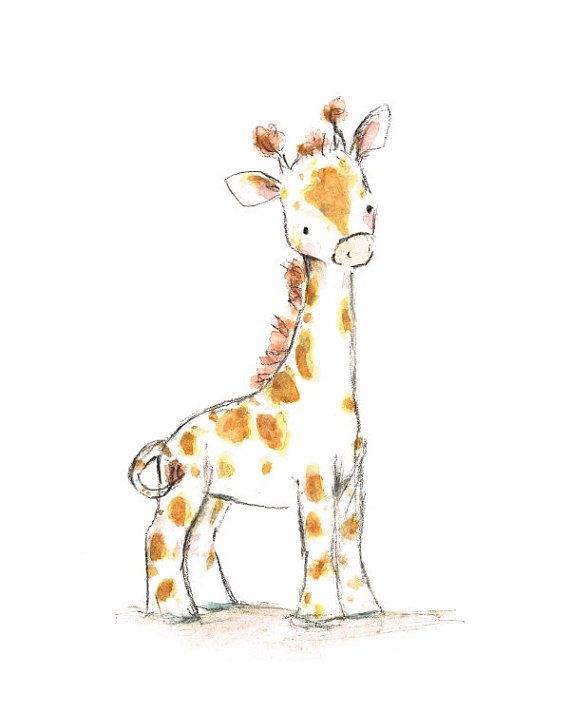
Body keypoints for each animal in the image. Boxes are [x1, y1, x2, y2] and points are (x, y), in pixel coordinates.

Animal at [129, 98, 391, 624]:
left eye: (369, 204)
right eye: (304, 224)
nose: (353, 247)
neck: (324, 394)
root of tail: (167, 445)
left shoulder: (353, 477)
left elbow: (351, 540)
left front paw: (364, 608)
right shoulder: (314, 476)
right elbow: (318, 540)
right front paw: (317, 615)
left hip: (217, 496)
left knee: (200, 540)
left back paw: (217, 602)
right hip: (186, 487)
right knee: (160, 535)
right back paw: (176, 612)